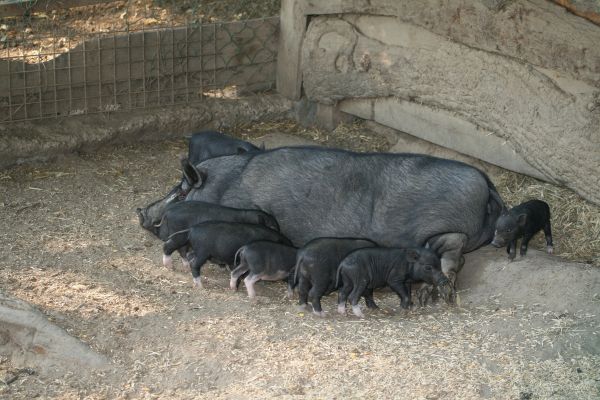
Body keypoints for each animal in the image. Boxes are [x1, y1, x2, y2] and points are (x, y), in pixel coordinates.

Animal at [180, 146, 504, 300]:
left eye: (182, 190)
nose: (152, 213)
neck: (227, 185)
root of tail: (487, 185)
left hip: (448, 229)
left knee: (451, 259)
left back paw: (433, 296)